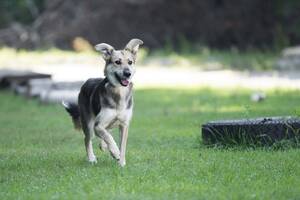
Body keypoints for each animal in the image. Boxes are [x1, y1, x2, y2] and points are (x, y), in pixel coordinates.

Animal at [62, 38, 143, 166]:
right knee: (88, 139)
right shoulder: (98, 125)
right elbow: (108, 137)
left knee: (106, 132)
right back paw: (91, 158)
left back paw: (104, 147)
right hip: (89, 124)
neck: (119, 93)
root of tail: (86, 82)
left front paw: (121, 162)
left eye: (130, 62)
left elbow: (122, 145)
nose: (127, 73)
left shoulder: (124, 125)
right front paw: (115, 152)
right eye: (117, 62)